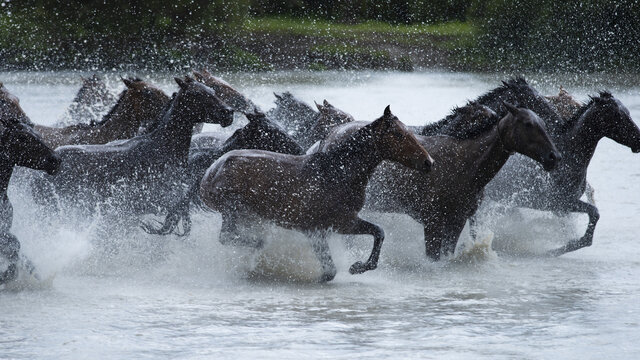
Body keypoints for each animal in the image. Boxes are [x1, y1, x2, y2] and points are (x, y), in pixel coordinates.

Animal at [199, 106, 430, 282]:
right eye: (399, 135)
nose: (429, 162)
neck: (339, 173)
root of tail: (209, 174)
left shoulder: (326, 227)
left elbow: (376, 234)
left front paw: (357, 267)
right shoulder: (331, 224)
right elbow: (333, 267)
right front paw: (355, 267)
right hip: (233, 209)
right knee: (228, 236)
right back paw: (257, 248)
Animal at [318, 102, 560, 260]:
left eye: (543, 123)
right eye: (528, 124)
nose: (554, 156)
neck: (464, 164)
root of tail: (331, 133)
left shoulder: (457, 220)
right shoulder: (433, 222)